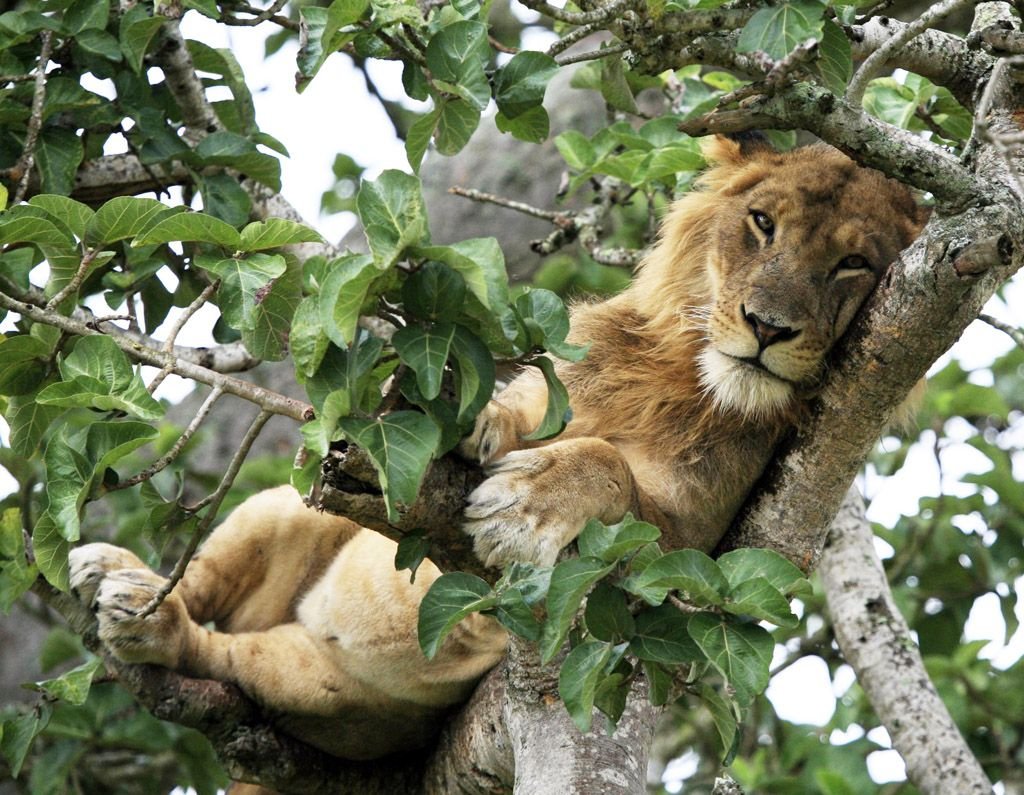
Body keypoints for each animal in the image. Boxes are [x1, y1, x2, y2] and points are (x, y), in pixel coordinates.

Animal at [68, 135, 925, 782]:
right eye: (762, 223)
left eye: (853, 263)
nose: (768, 327)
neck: (684, 373)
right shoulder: (559, 382)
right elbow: (523, 409)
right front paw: (462, 417)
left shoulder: (707, 551)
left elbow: (612, 475)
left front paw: (527, 504)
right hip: (279, 505)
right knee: (201, 580)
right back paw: (115, 576)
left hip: (323, 684)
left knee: (217, 652)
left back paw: (148, 623)